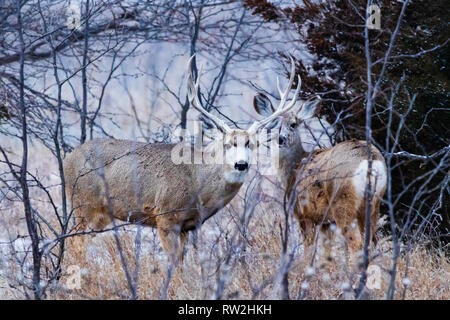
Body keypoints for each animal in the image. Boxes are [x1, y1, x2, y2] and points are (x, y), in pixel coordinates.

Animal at [63, 55, 300, 262]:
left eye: (252, 143)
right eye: (227, 144)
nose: (241, 164)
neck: (197, 182)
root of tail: (68, 159)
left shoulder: (188, 226)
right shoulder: (165, 216)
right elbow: (173, 263)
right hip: (84, 204)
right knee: (74, 244)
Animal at [253, 92, 386, 255]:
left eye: (293, 124)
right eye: (272, 124)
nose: (280, 138)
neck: (293, 169)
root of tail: (371, 161)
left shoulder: (304, 213)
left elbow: (309, 250)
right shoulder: (326, 222)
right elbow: (326, 251)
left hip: (343, 201)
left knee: (356, 243)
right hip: (374, 203)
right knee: (372, 241)